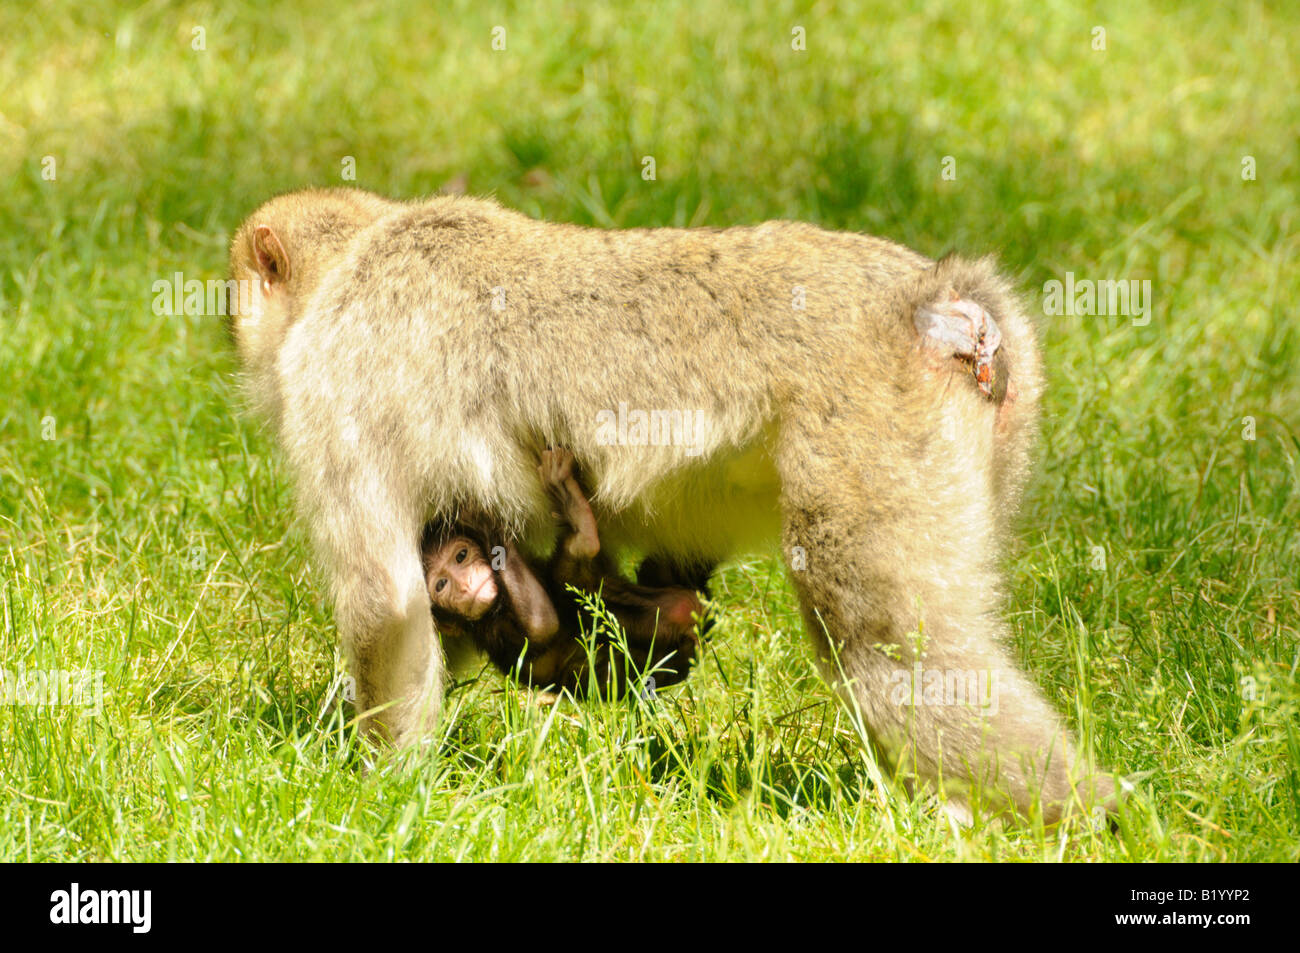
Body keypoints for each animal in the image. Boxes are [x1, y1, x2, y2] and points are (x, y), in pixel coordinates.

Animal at [423, 449, 707, 696]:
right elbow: (542, 625)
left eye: (461, 556)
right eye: (441, 585)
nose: (465, 585)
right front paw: (484, 524)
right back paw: (581, 531)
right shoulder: (494, 627)